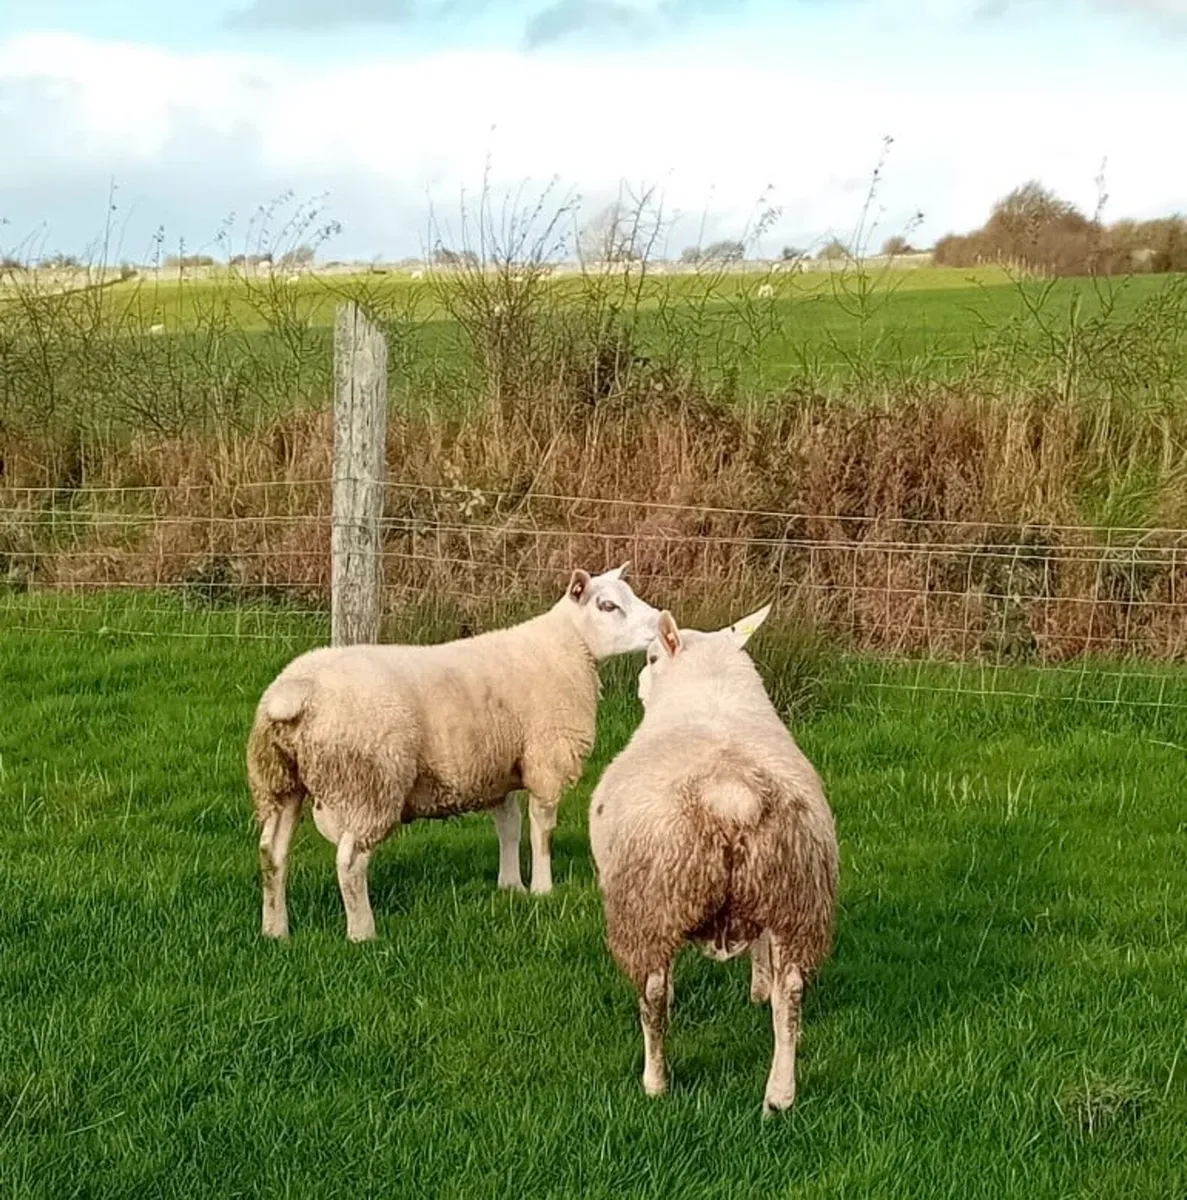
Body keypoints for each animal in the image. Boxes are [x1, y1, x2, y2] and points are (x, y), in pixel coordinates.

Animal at [248, 564, 661, 942]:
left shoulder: (498, 767)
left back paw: (275, 930)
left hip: (279, 782)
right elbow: (542, 828)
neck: (568, 647)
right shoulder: (546, 760)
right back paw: (362, 933)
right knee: (350, 862)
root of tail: (295, 694)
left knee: (271, 853)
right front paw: (543, 889)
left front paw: (511, 885)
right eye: (608, 605)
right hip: (369, 784)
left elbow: (508, 825)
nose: (660, 625)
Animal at [588, 604, 838, 1114]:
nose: (639, 684)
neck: (712, 692)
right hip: (792, 895)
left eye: (651, 657)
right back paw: (780, 1096)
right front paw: (757, 989)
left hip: (652, 903)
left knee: (652, 997)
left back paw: (655, 1082)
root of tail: (731, 796)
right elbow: (761, 958)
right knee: (791, 995)